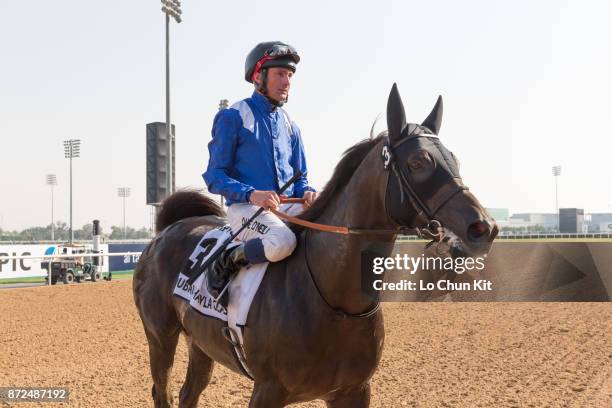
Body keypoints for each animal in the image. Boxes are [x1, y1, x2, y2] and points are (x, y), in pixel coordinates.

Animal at [133, 84, 498, 406]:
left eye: (454, 159)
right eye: (419, 162)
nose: (484, 227)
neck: (333, 299)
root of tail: (167, 229)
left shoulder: (353, 392)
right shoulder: (268, 390)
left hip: (201, 344)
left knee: (188, 394)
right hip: (160, 338)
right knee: (163, 392)